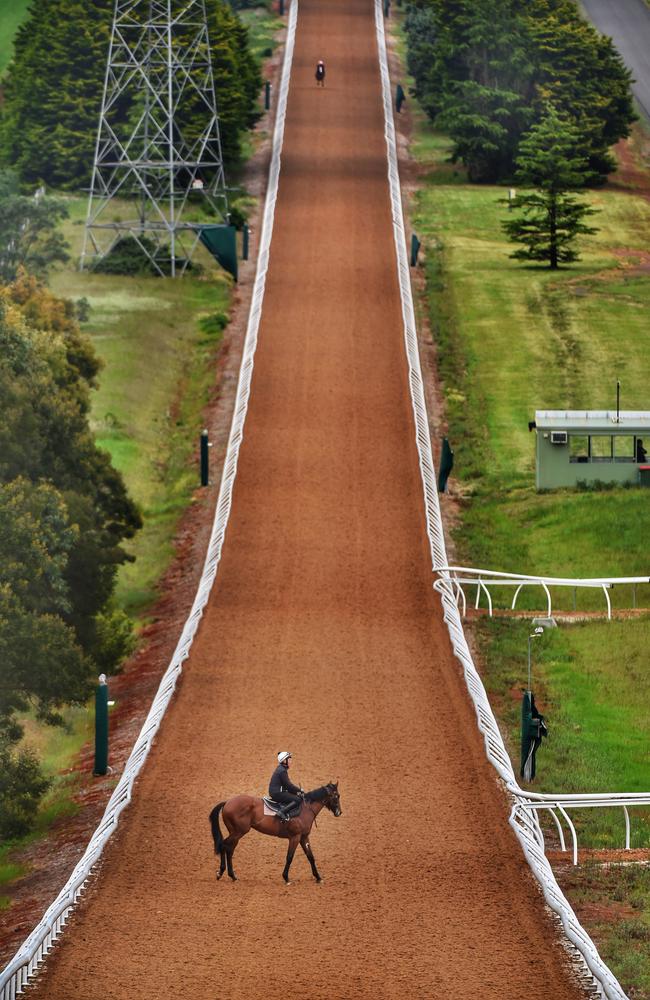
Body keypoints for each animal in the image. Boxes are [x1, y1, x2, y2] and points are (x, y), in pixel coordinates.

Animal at [209, 780, 342, 884]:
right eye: (336, 796)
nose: (339, 812)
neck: (305, 809)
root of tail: (227, 802)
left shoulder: (304, 837)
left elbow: (311, 856)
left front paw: (318, 877)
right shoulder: (295, 837)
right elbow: (289, 857)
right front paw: (286, 878)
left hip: (236, 833)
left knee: (229, 849)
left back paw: (232, 875)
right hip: (239, 832)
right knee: (224, 845)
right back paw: (221, 873)